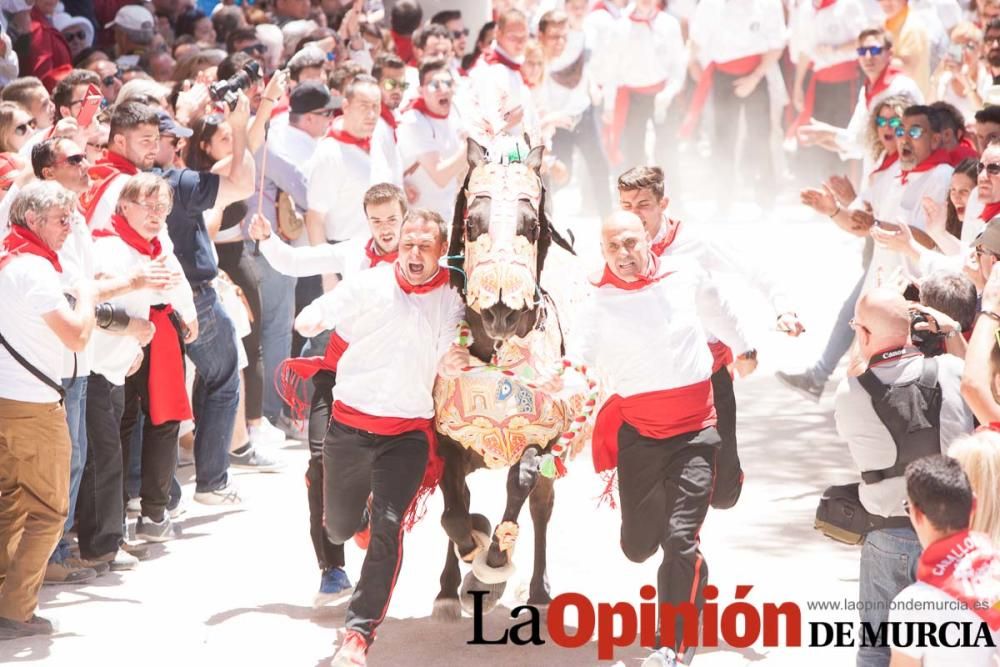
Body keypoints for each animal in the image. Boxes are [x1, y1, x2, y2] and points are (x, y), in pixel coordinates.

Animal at [432, 136, 592, 620]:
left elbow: (520, 483)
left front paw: (496, 560)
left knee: (540, 508)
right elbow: (454, 511)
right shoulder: (449, 439)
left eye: (532, 225)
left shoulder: (540, 435)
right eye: (472, 222)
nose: (501, 308)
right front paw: (471, 550)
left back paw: (538, 587)